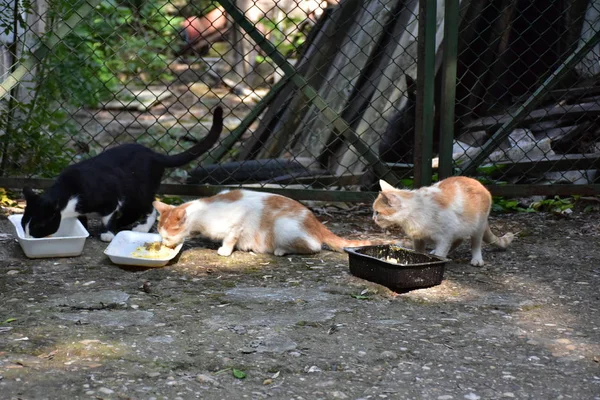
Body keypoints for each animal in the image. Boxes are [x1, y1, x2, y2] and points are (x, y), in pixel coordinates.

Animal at [21, 106, 225, 242]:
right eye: (23, 225)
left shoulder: (110, 199)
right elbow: (82, 218)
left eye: (38, 227)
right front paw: (84, 228)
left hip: (138, 191)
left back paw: (140, 227)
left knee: (149, 207)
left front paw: (107, 232)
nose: (28, 237)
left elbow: (108, 217)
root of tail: (154, 154)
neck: (68, 193)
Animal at [152, 190, 392, 256]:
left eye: (168, 236)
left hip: (282, 225)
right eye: (161, 236)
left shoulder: (237, 221)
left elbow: (230, 237)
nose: (164, 244)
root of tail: (315, 221)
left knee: (313, 247)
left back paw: (280, 250)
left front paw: (225, 250)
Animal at [372, 176, 512, 266]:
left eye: (377, 212)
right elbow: (419, 252)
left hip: (478, 227)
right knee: (459, 239)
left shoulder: (445, 236)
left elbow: (442, 250)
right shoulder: (418, 238)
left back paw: (477, 259)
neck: (414, 213)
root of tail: (479, 183)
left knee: (475, 244)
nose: (373, 218)